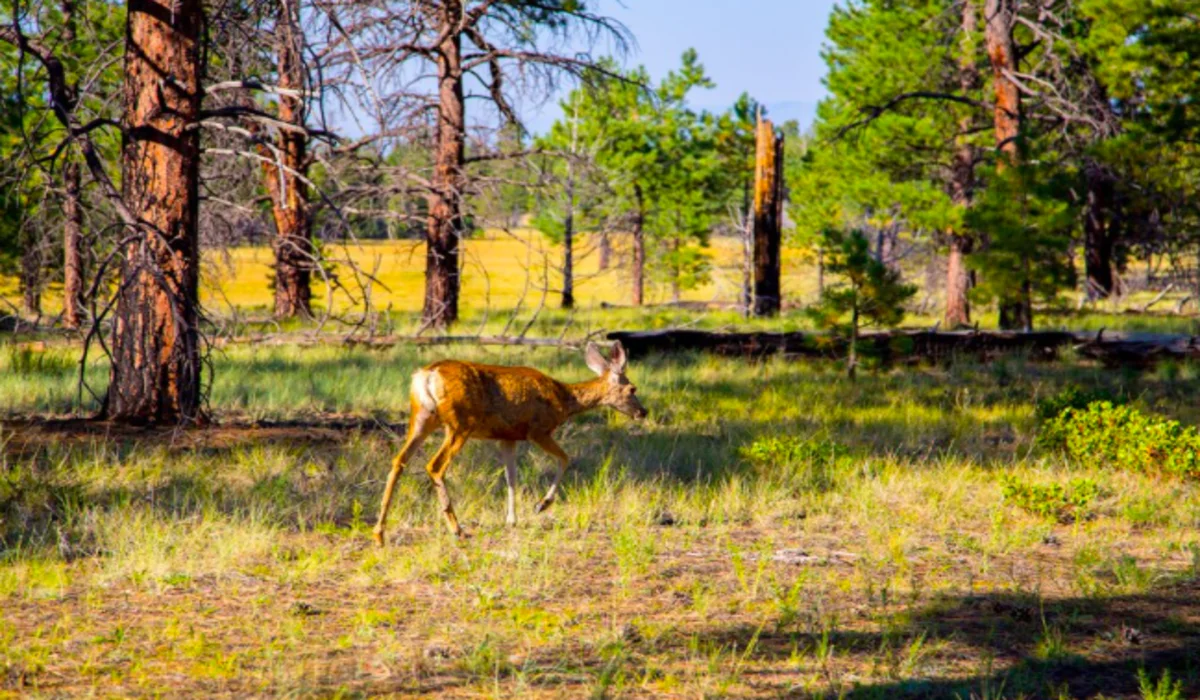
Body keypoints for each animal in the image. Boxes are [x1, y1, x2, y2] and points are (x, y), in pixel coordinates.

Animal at [372, 338, 648, 542]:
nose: (643, 412)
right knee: (435, 465)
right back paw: (457, 529)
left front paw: (512, 520)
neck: (563, 399)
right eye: (632, 389)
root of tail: (426, 375)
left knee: (398, 461)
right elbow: (564, 458)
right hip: (460, 424)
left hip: (421, 417)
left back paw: (379, 533)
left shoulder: (507, 437)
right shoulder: (538, 430)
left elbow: (511, 477)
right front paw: (541, 505)